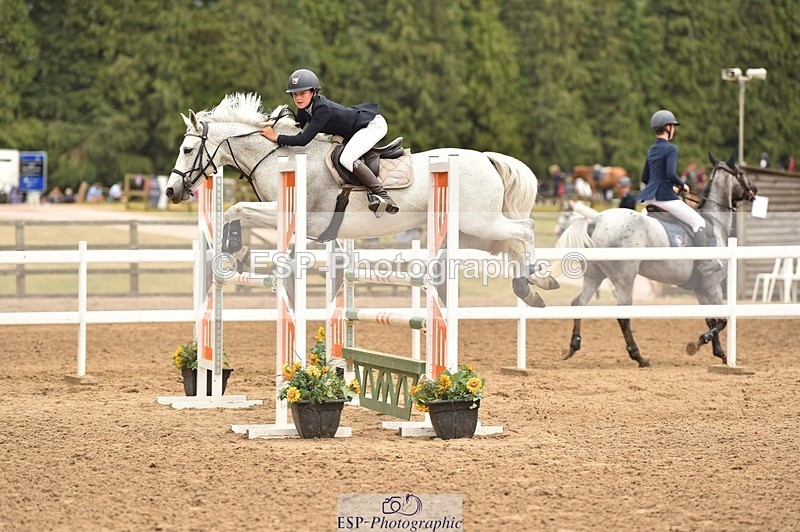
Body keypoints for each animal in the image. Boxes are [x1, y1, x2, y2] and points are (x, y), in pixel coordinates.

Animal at [165, 93, 559, 307]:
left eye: (187, 150)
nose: (171, 191)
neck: (278, 156)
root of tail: (486, 158)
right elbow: (238, 211)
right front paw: (239, 251)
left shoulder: (289, 213)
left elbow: (236, 208)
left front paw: (233, 249)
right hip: (471, 233)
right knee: (510, 243)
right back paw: (534, 288)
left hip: (479, 221)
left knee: (524, 229)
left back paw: (533, 280)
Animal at [555, 152, 757, 367]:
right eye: (741, 173)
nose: (754, 190)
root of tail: (596, 221)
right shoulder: (713, 284)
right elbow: (722, 320)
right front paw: (699, 343)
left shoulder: (702, 288)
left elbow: (711, 319)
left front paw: (720, 353)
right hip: (624, 278)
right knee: (622, 315)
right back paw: (639, 357)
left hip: (595, 275)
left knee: (579, 303)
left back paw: (572, 347)